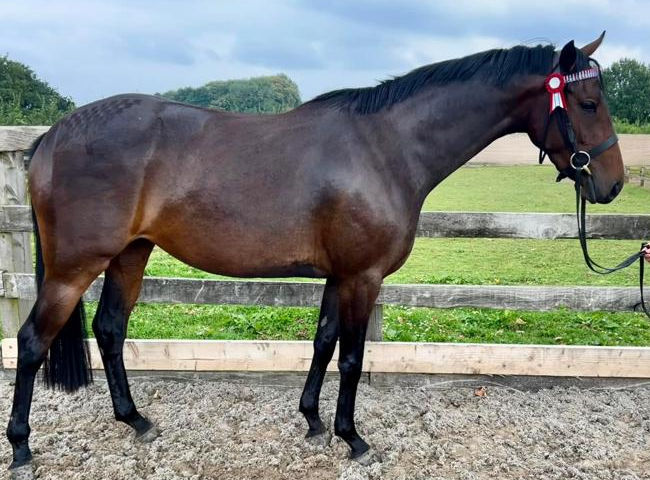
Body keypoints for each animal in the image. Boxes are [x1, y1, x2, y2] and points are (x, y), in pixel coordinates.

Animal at [7, 32, 623, 478]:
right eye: (588, 102)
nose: (613, 185)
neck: (386, 149)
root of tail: (52, 137)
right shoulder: (363, 276)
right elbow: (351, 357)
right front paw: (353, 438)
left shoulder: (338, 275)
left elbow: (324, 343)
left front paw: (312, 421)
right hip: (73, 268)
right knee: (33, 341)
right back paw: (21, 450)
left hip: (130, 255)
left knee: (110, 329)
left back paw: (136, 421)